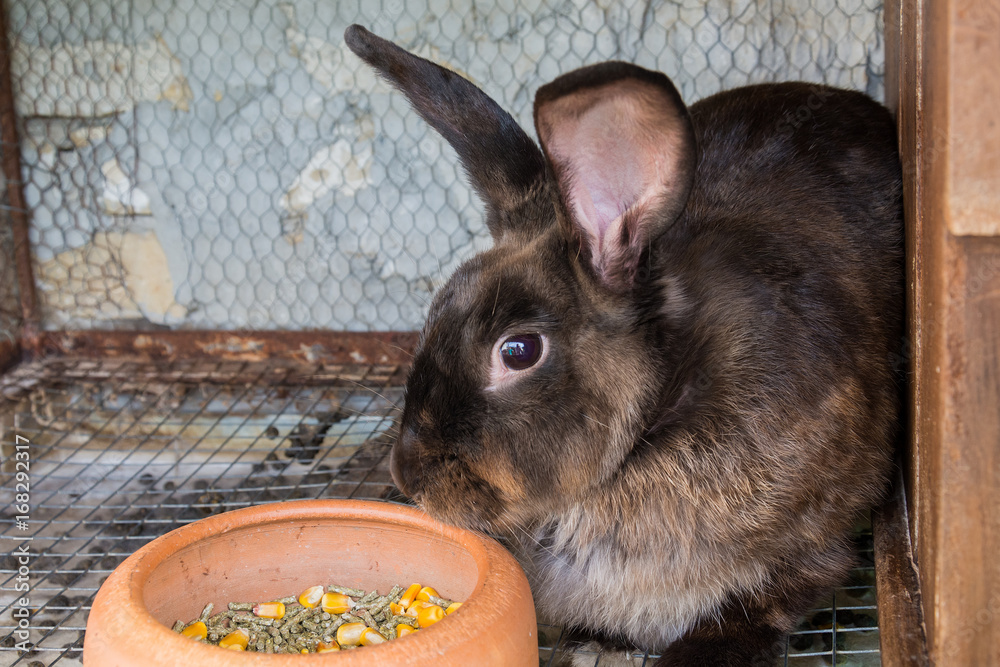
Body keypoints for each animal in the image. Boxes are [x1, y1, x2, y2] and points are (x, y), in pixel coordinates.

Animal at [344, 24, 902, 666]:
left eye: (517, 352)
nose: (407, 473)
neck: (654, 426)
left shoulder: (810, 546)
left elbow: (758, 604)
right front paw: (597, 644)